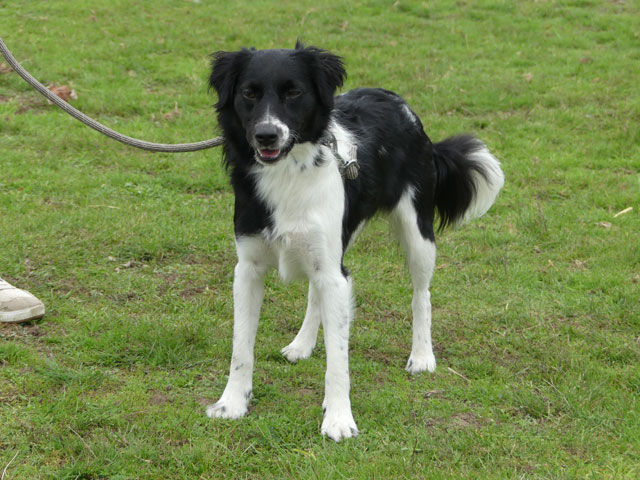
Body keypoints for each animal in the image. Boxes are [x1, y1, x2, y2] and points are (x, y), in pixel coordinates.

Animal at [208, 43, 502, 440]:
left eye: (294, 93)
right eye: (249, 94)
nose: (267, 135)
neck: (287, 173)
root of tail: (398, 102)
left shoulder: (333, 271)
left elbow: (338, 359)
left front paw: (338, 419)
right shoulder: (250, 269)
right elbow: (241, 347)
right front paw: (232, 404)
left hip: (417, 233)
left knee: (421, 294)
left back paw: (422, 356)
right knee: (317, 293)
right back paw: (302, 344)